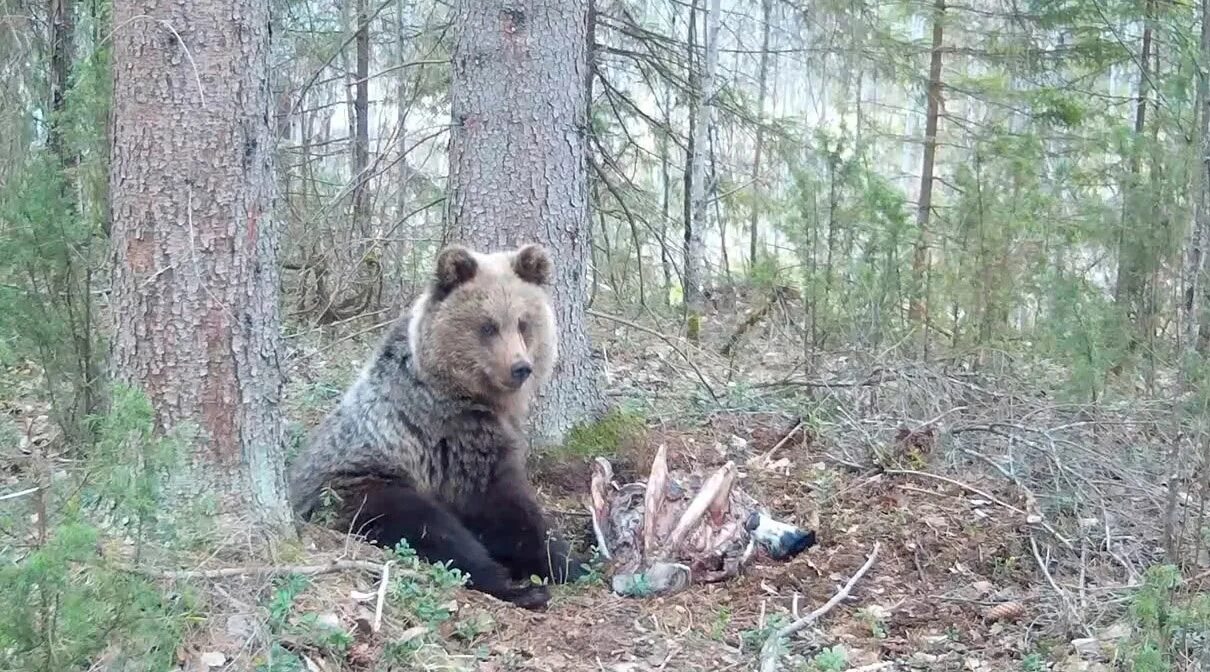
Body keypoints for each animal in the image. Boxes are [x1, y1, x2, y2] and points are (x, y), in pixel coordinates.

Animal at [287, 243, 580, 610]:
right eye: (488, 326)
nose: (520, 367)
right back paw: (519, 588)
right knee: (430, 528)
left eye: (524, 323)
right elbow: (502, 507)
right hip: (359, 486)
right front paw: (562, 564)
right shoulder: (455, 438)